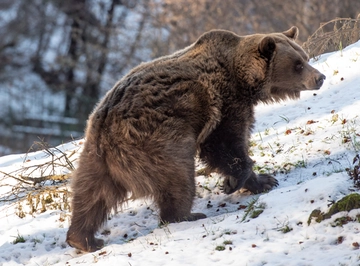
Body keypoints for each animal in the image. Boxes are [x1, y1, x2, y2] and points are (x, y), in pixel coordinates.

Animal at [66, 26, 324, 251]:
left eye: (304, 56)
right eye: (298, 64)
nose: (319, 77)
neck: (244, 80)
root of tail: (106, 124)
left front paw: (262, 180)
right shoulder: (225, 103)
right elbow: (226, 145)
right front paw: (244, 181)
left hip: (95, 157)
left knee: (90, 194)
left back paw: (84, 239)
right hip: (155, 141)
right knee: (178, 177)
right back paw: (186, 215)